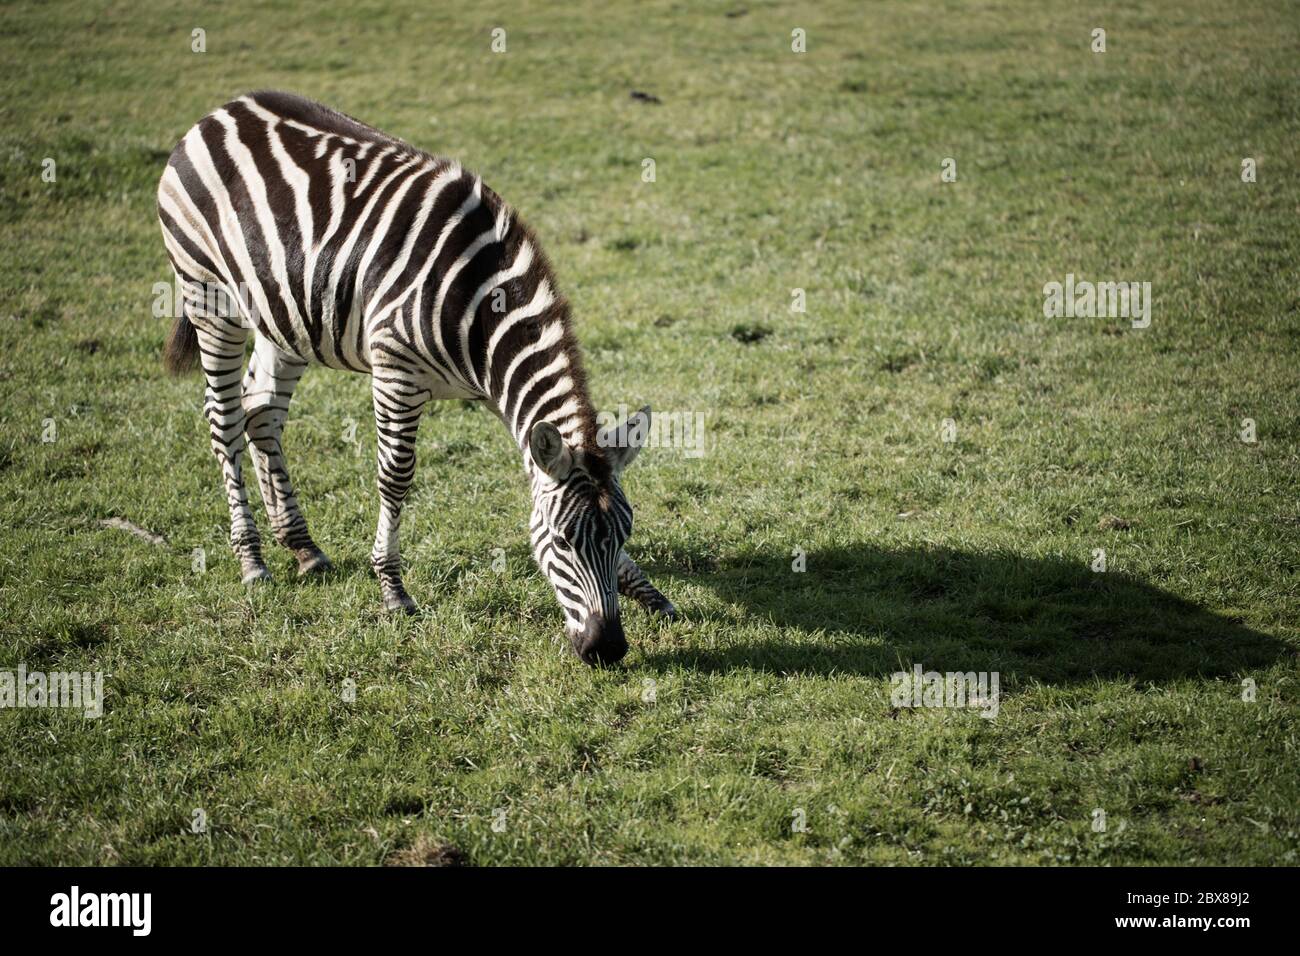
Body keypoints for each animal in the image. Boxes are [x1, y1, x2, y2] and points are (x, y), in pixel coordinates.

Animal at [156, 91, 676, 665]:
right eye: (562, 542)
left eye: (624, 535)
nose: (607, 648)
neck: (479, 307)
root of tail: (223, 110)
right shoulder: (395, 372)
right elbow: (395, 476)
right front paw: (393, 589)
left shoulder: (500, 395)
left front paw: (646, 590)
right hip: (209, 296)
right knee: (224, 420)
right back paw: (251, 559)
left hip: (283, 313)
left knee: (261, 411)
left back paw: (302, 546)